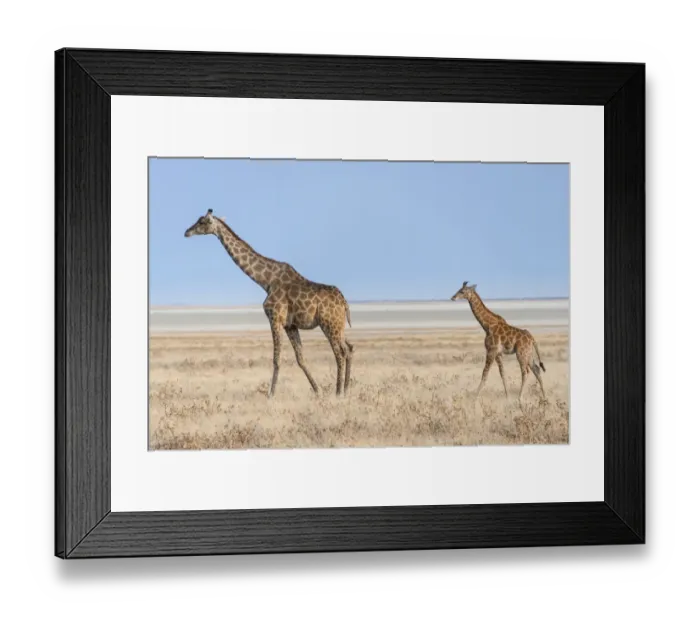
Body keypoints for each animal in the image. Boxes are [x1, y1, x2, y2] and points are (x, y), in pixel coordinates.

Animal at [184, 209, 354, 398]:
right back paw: (346, 389)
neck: (265, 281)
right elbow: (300, 358)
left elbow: (276, 359)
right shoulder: (290, 325)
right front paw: (317, 391)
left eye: (203, 222)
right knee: (349, 348)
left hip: (329, 324)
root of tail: (344, 303)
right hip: (338, 326)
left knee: (340, 352)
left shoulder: (275, 318)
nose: (187, 232)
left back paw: (338, 392)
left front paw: (270, 394)